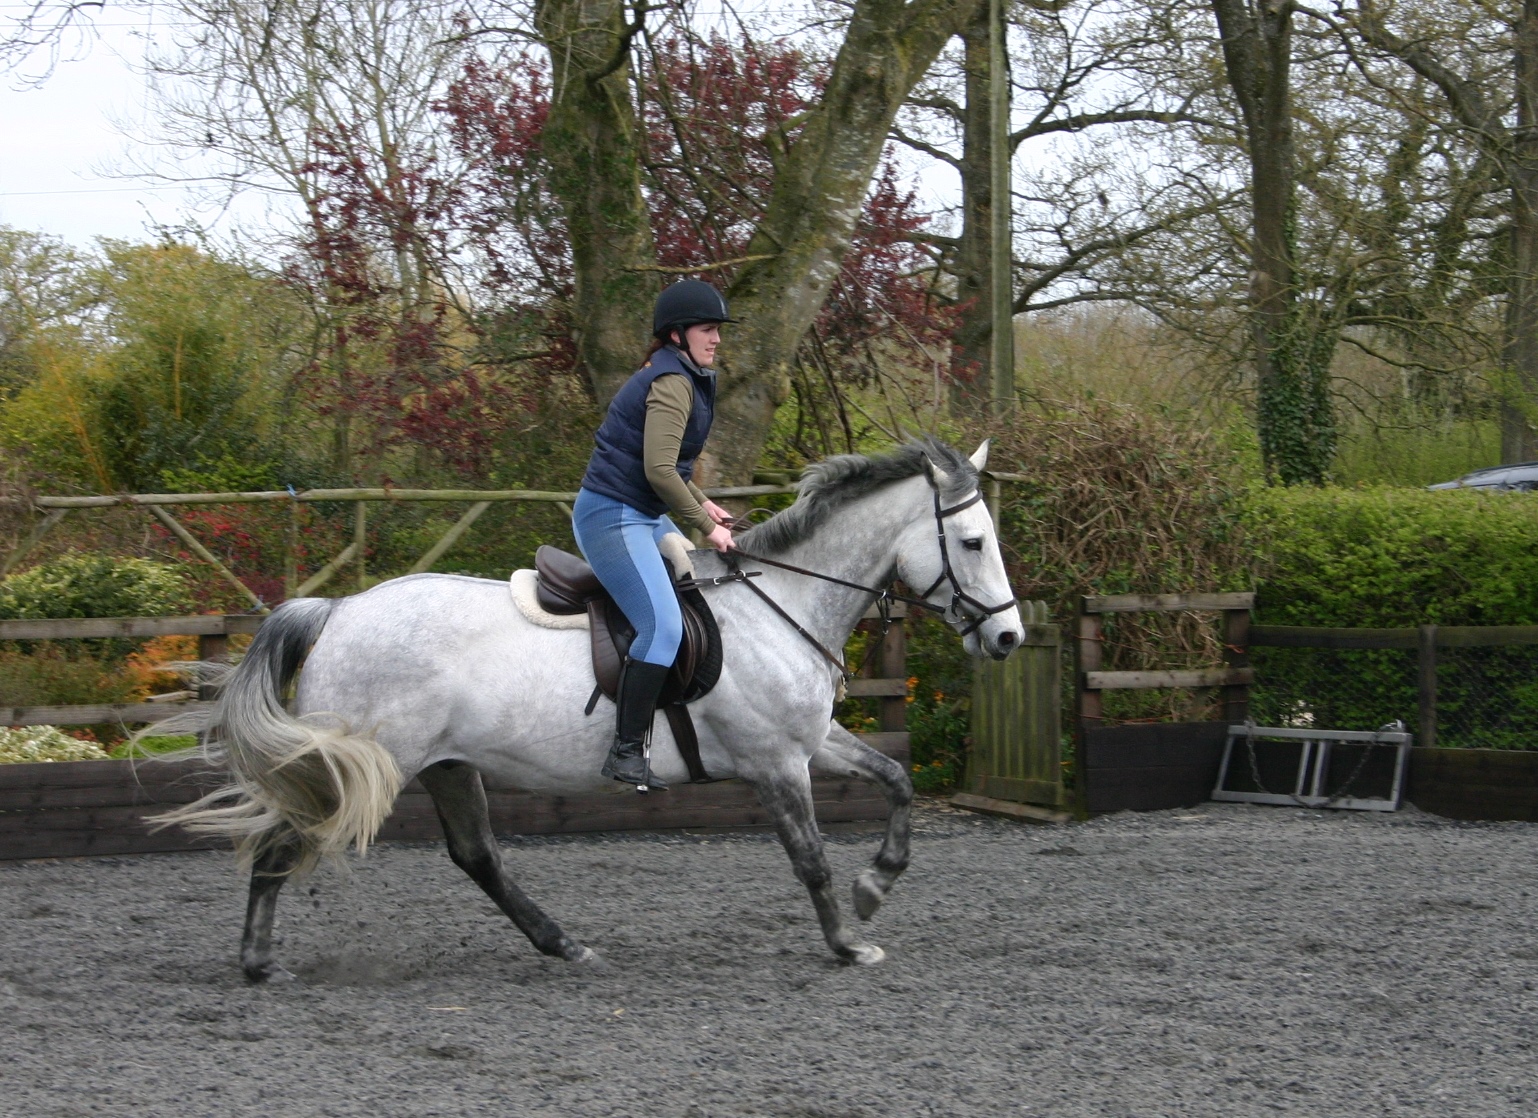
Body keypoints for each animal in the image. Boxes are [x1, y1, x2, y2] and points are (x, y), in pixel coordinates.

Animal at [158, 438, 1025, 982]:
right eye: (973, 542)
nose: (1010, 637)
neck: (780, 599)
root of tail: (337, 610)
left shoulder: (811, 742)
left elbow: (896, 780)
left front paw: (876, 887)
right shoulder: (778, 763)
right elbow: (809, 859)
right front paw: (847, 941)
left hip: (446, 765)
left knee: (478, 858)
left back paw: (564, 945)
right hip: (370, 763)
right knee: (283, 842)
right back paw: (258, 961)